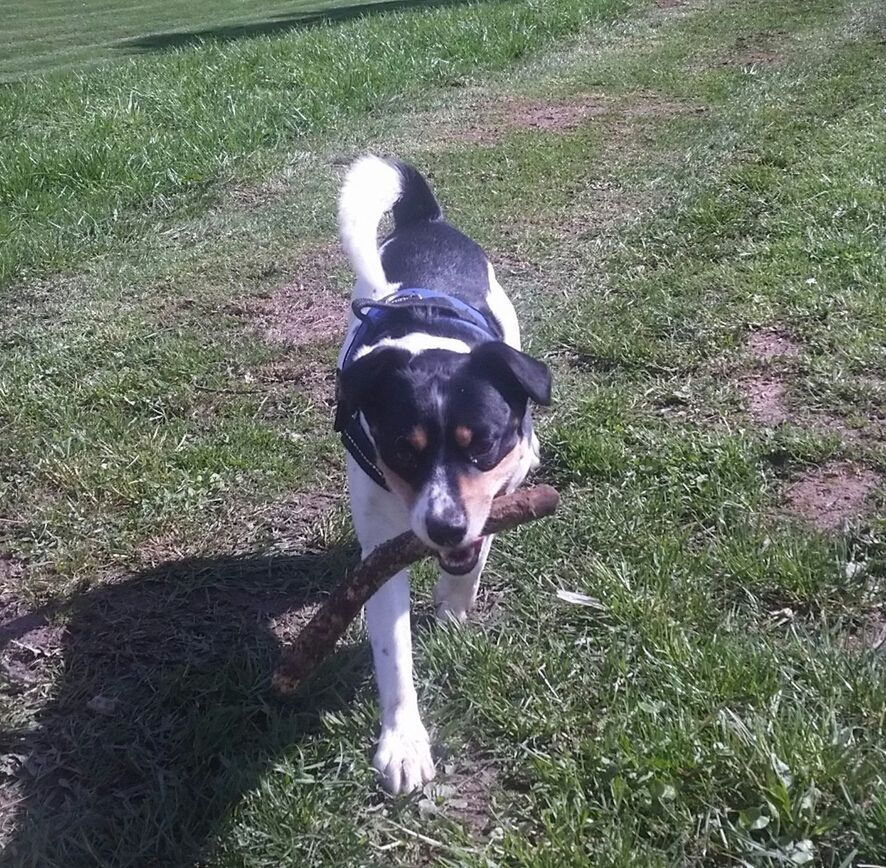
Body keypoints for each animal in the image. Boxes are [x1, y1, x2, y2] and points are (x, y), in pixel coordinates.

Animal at [334, 154, 552, 792]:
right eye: (403, 453)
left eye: (481, 446)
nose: (445, 528)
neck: (426, 342)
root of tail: (424, 219)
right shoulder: (383, 541)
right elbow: (392, 650)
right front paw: (404, 742)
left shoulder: (492, 495)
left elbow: (475, 554)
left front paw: (454, 606)